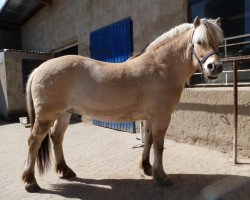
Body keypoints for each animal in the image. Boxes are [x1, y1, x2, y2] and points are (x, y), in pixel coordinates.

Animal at [22, 16, 224, 192]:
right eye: (199, 42)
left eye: (218, 43)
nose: (215, 67)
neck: (161, 66)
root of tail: (38, 69)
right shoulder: (161, 117)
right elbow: (159, 146)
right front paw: (161, 176)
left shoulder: (149, 117)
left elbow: (148, 141)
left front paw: (146, 167)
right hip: (46, 116)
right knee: (33, 141)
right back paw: (30, 181)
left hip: (64, 113)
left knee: (56, 137)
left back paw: (65, 170)